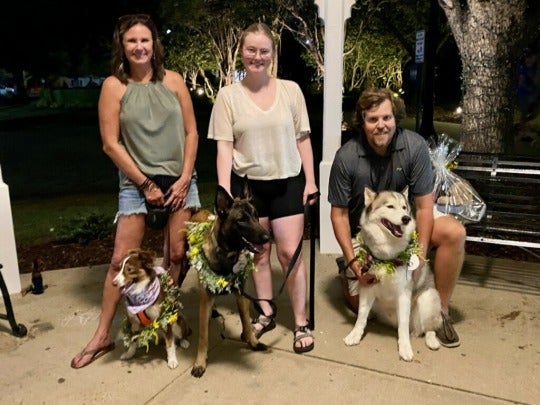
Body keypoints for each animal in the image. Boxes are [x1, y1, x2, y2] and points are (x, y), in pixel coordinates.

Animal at [191, 185, 274, 378]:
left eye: (256, 215)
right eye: (241, 220)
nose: (268, 237)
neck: (227, 254)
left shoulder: (241, 295)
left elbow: (246, 322)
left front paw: (252, 342)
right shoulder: (204, 299)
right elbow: (203, 335)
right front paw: (200, 362)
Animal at [344, 186, 440, 360]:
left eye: (404, 207)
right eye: (390, 207)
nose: (406, 218)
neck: (386, 256)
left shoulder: (404, 294)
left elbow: (403, 325)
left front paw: (405, 348)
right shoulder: (367, 287)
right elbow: (361, 316)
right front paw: (355, 335)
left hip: (427, 297)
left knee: (430, 327)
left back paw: (431, 340)